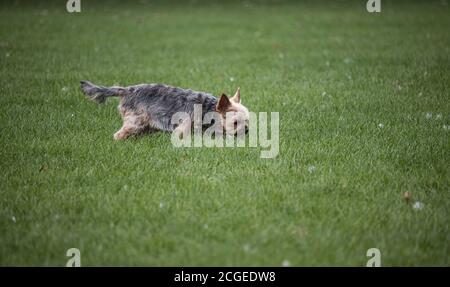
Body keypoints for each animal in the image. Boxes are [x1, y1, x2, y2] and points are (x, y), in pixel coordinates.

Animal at [81, 81, 250, 141]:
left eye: (248, 120)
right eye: (235, 123)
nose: (247, 130)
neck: (208, 108)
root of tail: (127, 90)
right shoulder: (185, 124)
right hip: (135, 120)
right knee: (120, 134)